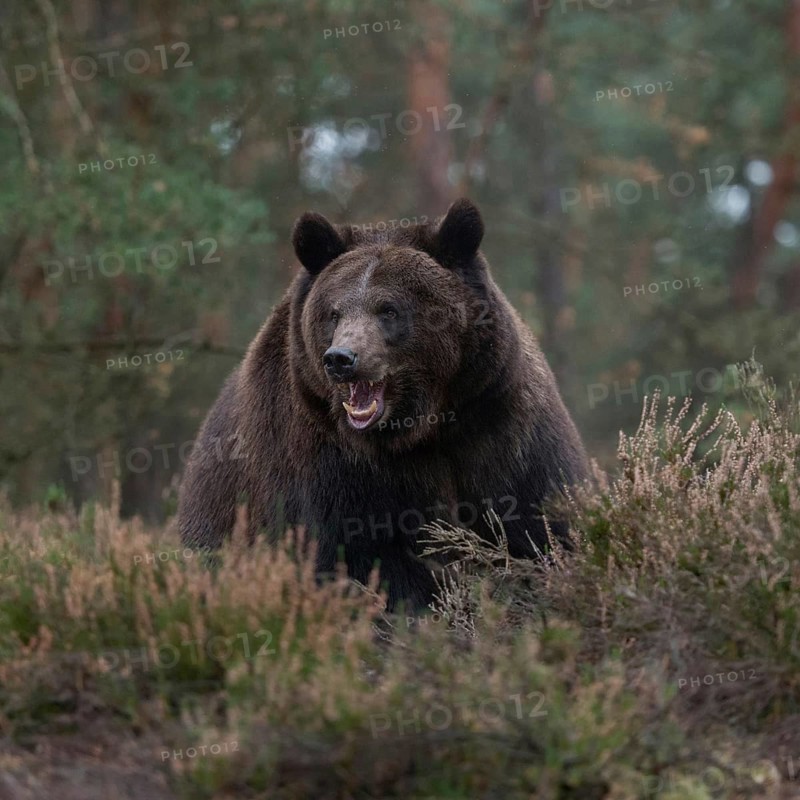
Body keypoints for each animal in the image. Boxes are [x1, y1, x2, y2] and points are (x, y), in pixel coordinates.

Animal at [178, 198, 587, 610]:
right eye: (334, 312)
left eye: (388, 309)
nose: (341, 358)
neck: (424, 427)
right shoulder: (330, 465)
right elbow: (367, 561)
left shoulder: (501, 430)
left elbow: (538, 524)